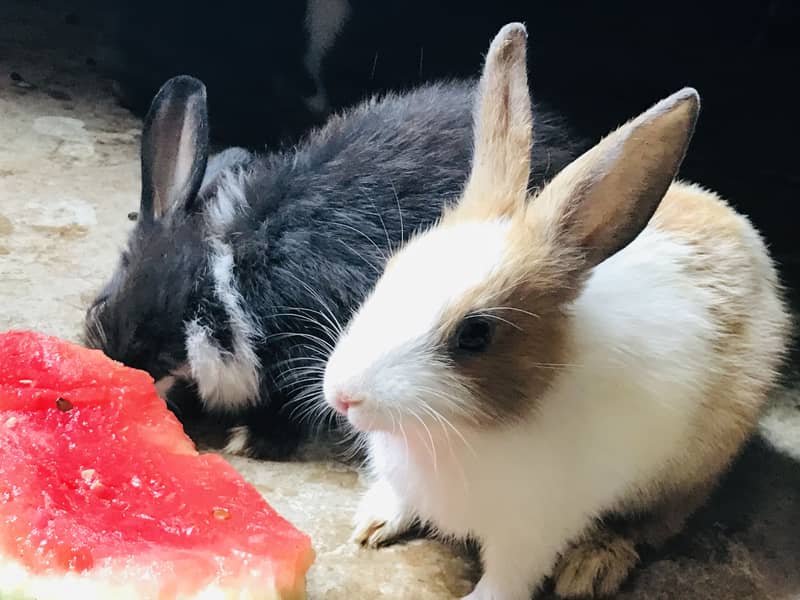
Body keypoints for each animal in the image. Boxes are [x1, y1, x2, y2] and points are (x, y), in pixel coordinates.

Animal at [321, 23, 791, 600]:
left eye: (475, 335)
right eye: (391, 269)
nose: (343, 396)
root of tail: (742, 232)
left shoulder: (533, 532)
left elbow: (510, 576)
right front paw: (374, 522)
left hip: (690, 468)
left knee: (653, 524)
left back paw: (593, 564)